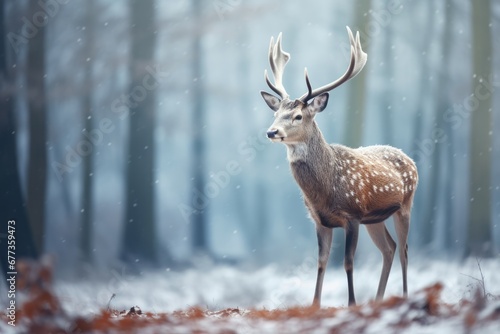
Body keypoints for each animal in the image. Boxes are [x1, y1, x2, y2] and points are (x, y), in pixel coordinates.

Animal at [262, 27, 418, 306]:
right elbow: (321, 263)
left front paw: (352, 304)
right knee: (389, 248)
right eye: (275, 114)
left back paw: (403, 297)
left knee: (404, 250)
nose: (271, 132)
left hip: (405, 205)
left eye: (298, 116)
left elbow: (347, 262)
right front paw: (315, 305)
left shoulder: (352, 214)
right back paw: (378, 299)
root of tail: (410, 160)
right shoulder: (320, 221)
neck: (326, 189)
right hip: (374, 219)